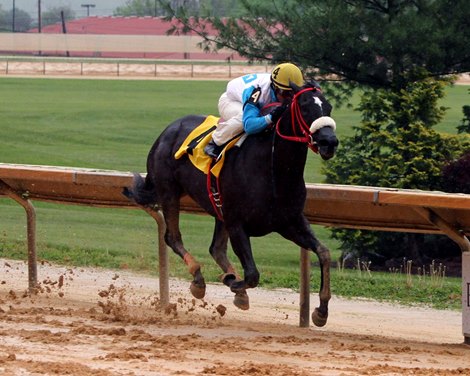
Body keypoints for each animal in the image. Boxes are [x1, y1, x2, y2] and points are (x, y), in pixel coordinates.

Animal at [124, 81, 338, 326]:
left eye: (329, 107)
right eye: (304, 106)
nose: (330, 142)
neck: (273, 170)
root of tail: (166, 131)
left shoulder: (289, 222)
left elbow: (324, 252)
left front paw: (321, 311)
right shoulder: (237, 223)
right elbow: (252, 274)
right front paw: (232, 281)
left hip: (218, 207)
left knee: (216, 248)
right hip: (169, 191)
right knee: (172, 237)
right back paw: (199, 279)